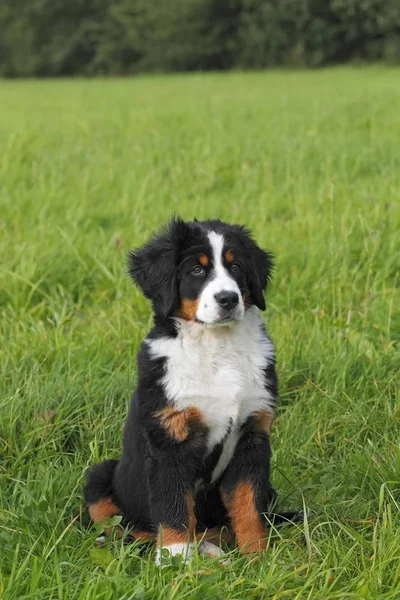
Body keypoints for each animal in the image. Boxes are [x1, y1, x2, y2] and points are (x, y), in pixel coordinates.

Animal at [83, 219, 304, 564]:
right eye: (197, 271)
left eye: (236, 267)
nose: (228, 299)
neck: (217, 347)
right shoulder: (170, 438)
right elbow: (173, 505)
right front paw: (174, 558)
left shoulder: (253, 435)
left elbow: (248, 503)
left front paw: (257, 556)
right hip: (99, 477)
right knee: (125, 527)